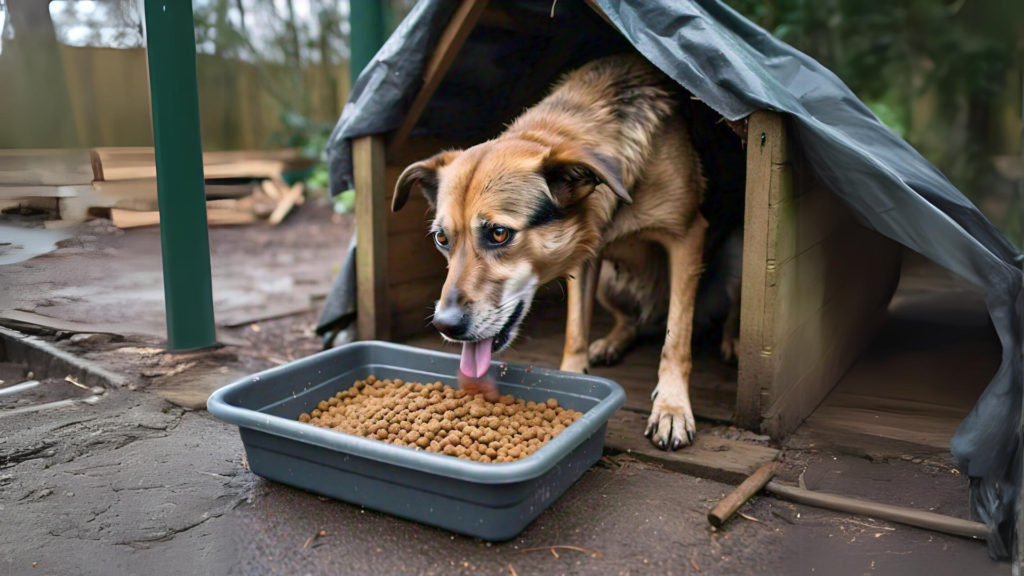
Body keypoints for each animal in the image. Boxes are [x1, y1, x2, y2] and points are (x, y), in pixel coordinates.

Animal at [391, 54, 712, 448]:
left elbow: (676, 338)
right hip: (607, 282)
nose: (444, 325)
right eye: (441, 239)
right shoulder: (586, 253)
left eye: (499, 233)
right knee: (630, 321)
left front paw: (671, 407)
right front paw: (574, 376)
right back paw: (611, 343)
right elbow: (576, 330)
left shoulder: (686, 235)